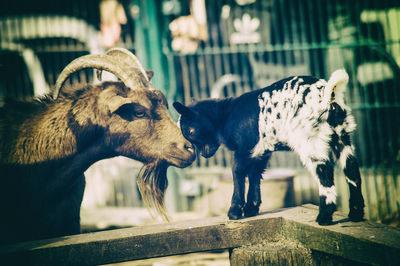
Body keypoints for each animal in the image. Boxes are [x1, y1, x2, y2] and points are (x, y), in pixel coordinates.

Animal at [173, 69, 364, 225]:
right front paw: (251, 209)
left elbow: (238, 173)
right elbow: (255, 175)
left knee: (325, 175)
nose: (203, 155)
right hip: (342, 135)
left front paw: (234, 212)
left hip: (310, 140)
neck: (226, 115)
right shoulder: (261, 152)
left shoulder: (243, 149)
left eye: (190, 131)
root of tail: (326, 95)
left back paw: (323, 218)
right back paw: (355, 214)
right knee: (352, 171)